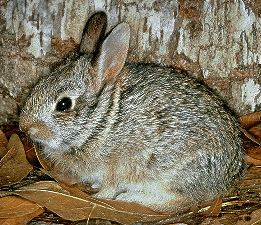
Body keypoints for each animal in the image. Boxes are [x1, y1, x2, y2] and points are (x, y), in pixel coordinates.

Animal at [19, 12, 244, 213]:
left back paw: (132, 199)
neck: (101, 123)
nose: (25, 127)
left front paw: (99, 196)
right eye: (40, 82)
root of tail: (230, 176)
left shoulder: (116, 167)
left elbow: (110, 187)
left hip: (172, 172)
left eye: (64, 104)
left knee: (184, 200)